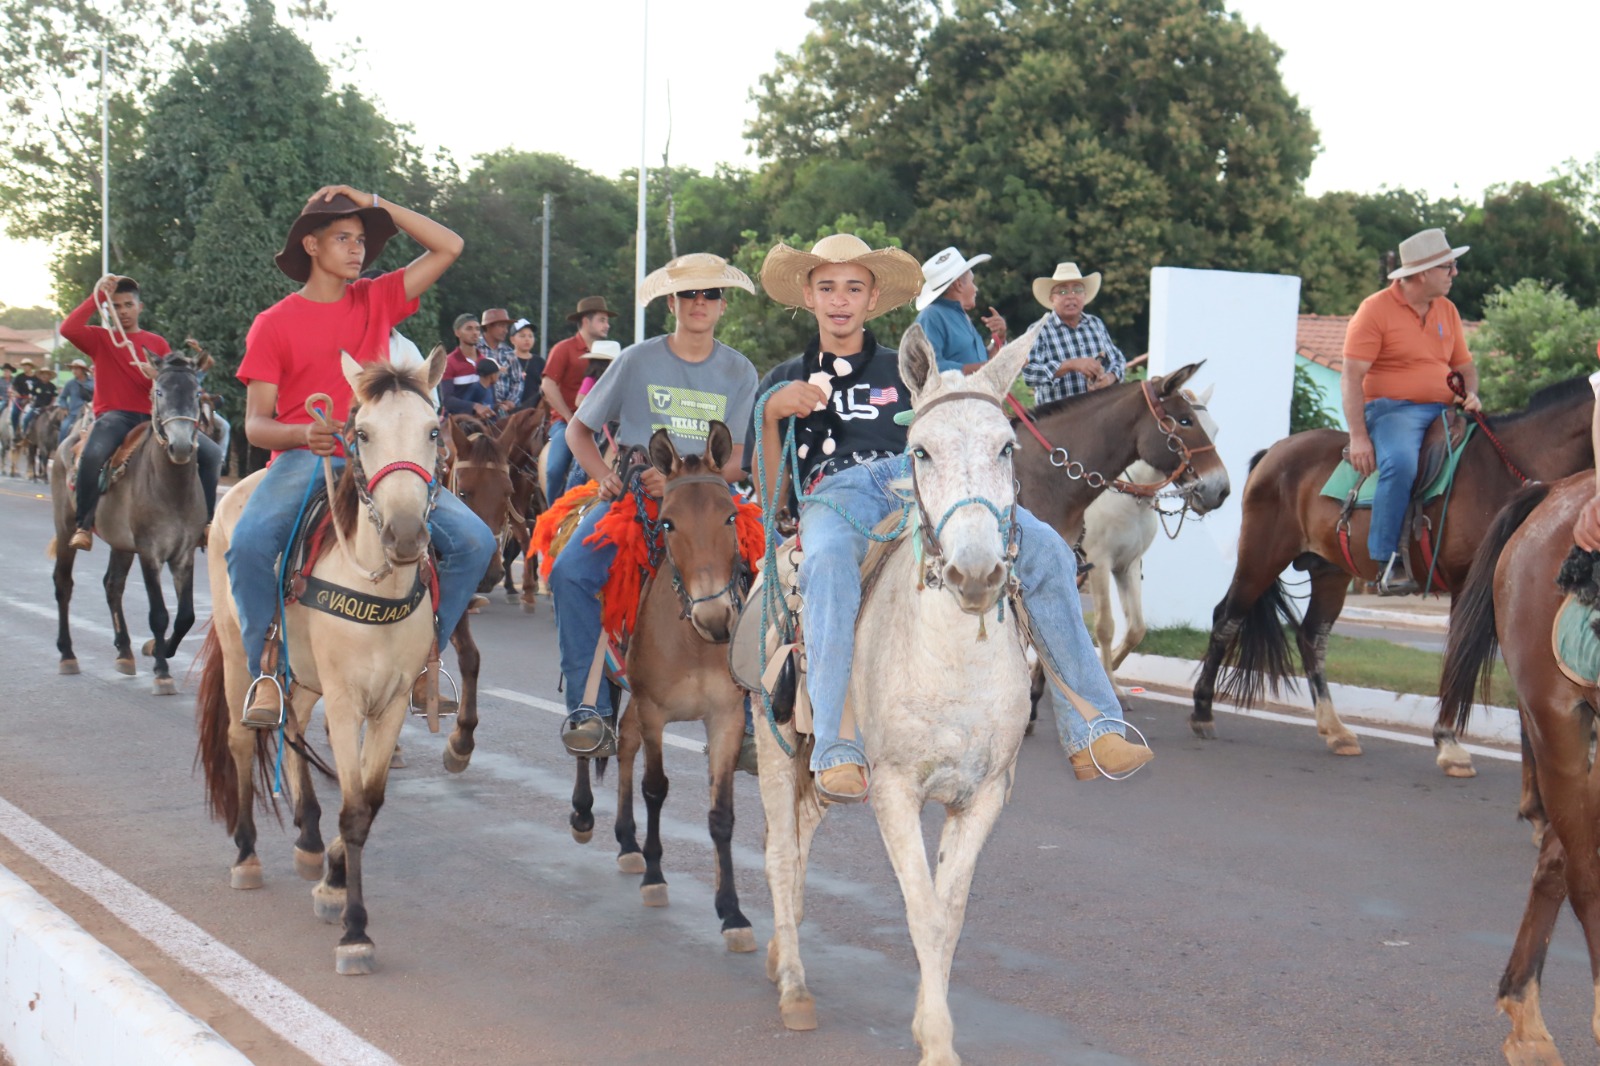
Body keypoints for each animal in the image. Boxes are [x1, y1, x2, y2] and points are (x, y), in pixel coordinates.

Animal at [48, 353, 209, 694]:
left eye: (197, 393)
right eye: (159, 392)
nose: (181, 446)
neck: (171, 486)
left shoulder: (183, 555)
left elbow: (186, 616)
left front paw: (158, 649)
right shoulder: (150, 552)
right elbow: (159, 613)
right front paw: (162, 671)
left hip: (121, 544)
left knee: (113, 585)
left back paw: (124, 651)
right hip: (65, 528)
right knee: (63, 584)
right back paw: (67, 654)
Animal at [194, 352, 447, 975]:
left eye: (433, 430)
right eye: (362, 433)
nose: (407, 535)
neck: (375, 583)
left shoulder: (392, 702)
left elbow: (368, 803)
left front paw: (334, 877)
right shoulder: (346, 699)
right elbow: (353, 807)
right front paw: (355, 930)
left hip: (303, 677)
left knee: (293, 727)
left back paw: (309, 841)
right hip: (239, 651)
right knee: (243, 736)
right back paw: (246, 853)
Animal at [757, 327, 1047, 1065]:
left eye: (1006, 446)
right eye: (922, 450)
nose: (976, 573)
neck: (952, 661)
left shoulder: (983, 795)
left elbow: (948, 915)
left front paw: (928, 1026)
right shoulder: (894, 788)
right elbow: (921, 910)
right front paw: (937, 1042)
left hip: (822, 768)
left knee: (802, 839)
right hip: (775, 745)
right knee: (780, 855)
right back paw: (793, 986)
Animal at [1080, 385, 1218, 696]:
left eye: (1214, 430)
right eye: (1185, 423)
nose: (1217, 490)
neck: (1128, 494)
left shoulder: (1128, 564)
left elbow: (1136, 629)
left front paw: (1111, 664)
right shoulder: (1099, 561)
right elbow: (1105, 625)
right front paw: (1109, 682)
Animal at [1191, 377, 1593, 765]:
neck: (1505, 470)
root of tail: (1273, 452)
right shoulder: (1468, 585)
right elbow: (1460, 656)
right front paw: (1448, 742)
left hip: (1330, 572)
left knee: (1311, 637)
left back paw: (1335, 730)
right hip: (1261, 556)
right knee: (1227, 618)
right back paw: (1203, 711)